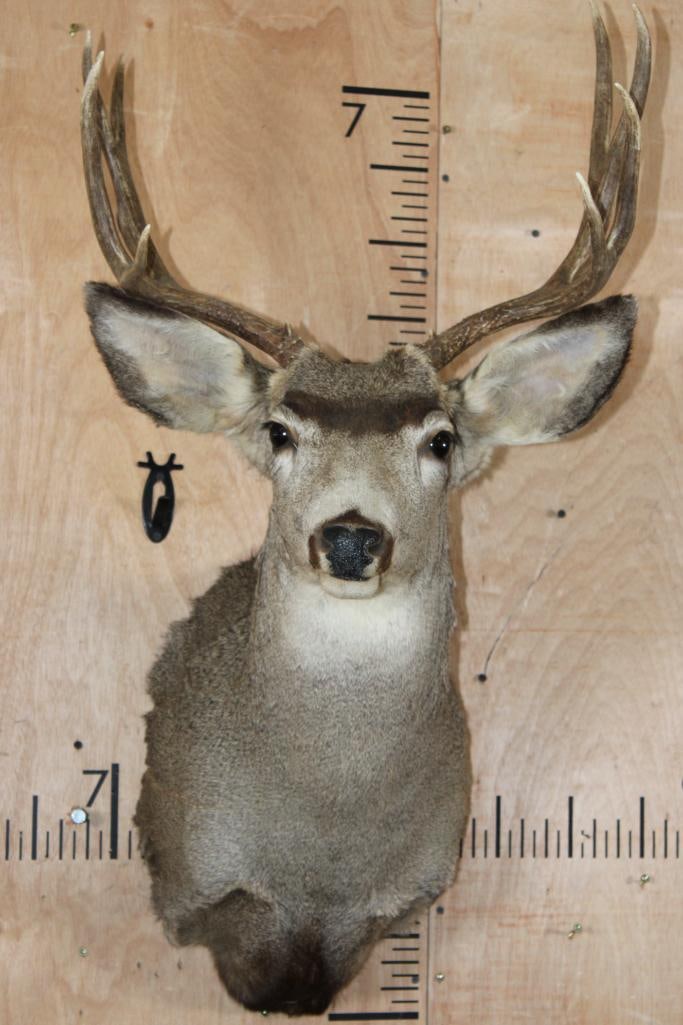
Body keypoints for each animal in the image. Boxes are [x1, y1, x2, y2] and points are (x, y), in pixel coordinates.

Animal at [80, 5, 650, 1017]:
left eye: (440, 440)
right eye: (277, 431)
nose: (349, 535)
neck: (321, 855)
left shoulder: (396, 898)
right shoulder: (202, 883)